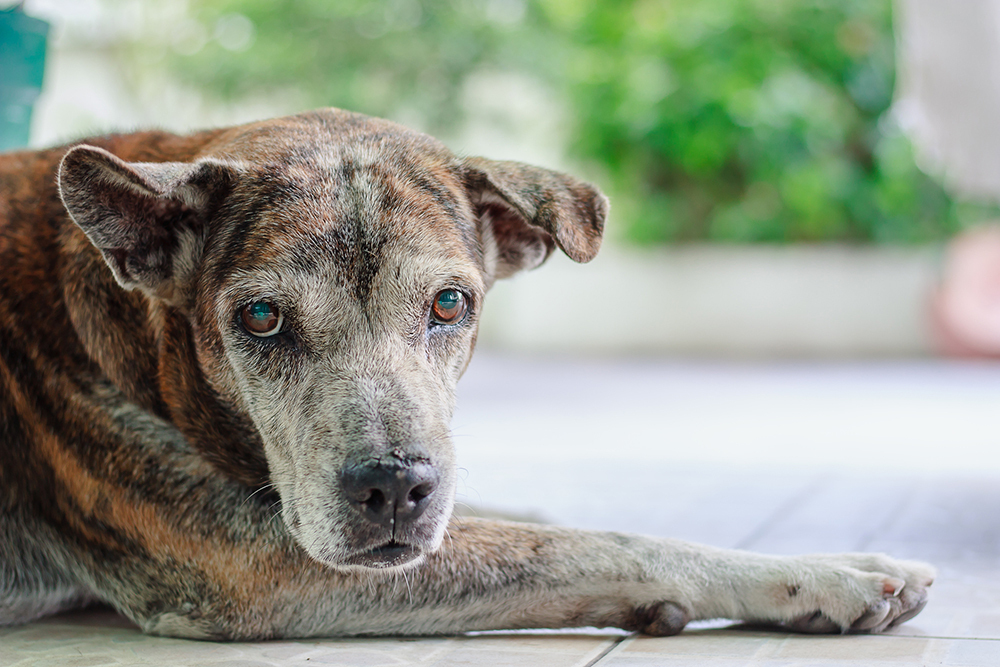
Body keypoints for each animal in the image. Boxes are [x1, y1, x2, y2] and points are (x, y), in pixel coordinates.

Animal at [0, 107, 936, 640]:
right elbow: (587, 544)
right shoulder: (255, 566)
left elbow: (536, 520)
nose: (393, 487)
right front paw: (829, 574)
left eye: (451, 303)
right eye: (260, 317)